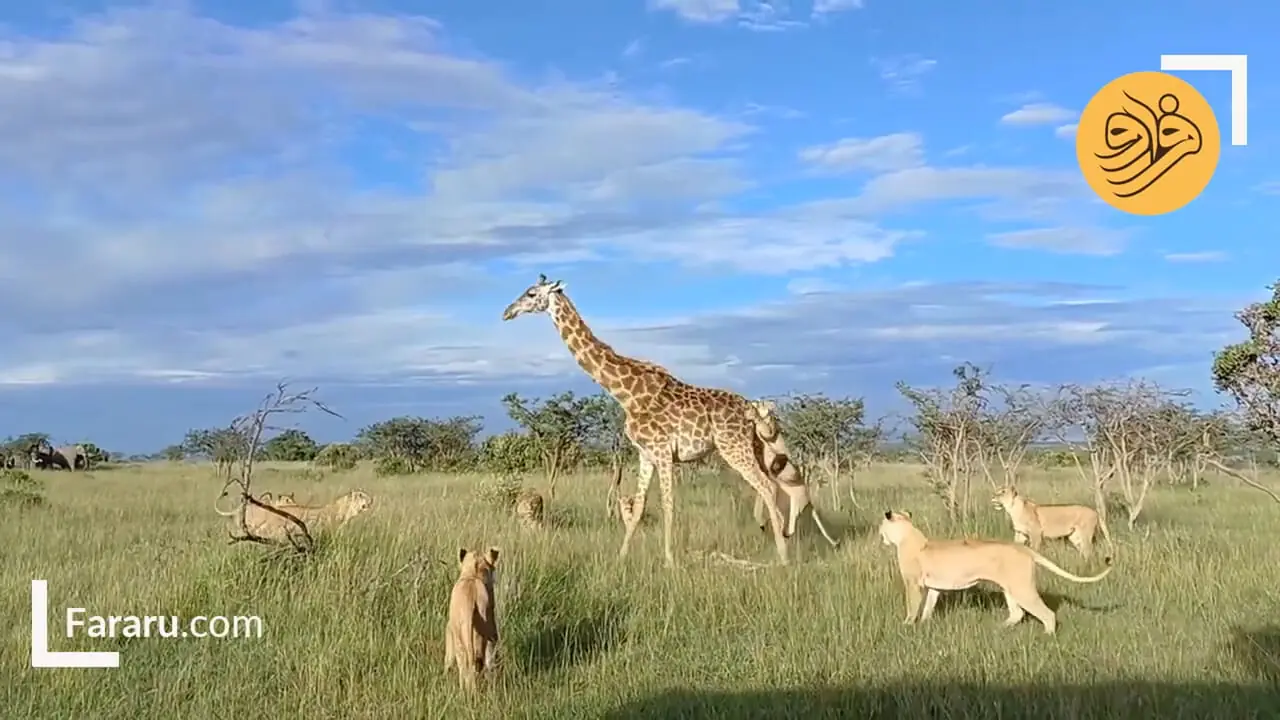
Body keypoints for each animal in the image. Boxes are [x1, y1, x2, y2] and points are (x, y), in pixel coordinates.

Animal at [499, 271, 788, 563]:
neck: (626, 394)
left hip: (733, 446)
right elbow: (638, 507)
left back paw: (783, 556)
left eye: (531, 294)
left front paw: (669, 560)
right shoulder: (645, 453)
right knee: (772, 486)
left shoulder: (662, 451)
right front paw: (621, 557)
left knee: (766, 486)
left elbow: (668, 505)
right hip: (753, 446)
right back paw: (781, 539)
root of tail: (750, 408)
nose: (507, 312)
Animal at [880, 507, 1111, 630]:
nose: (880, 536)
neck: (907, 536)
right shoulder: (934, 586)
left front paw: (906, 625)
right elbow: (929, 605)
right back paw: (999, 629)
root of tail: (1024, 548)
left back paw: (1047, 636)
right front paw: (925, 623)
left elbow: (912, 605)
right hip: (1010, 587)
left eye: (881, 527)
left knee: (1047, 614)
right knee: (1017, 613)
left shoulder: (913, 583)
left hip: (1021, 587)